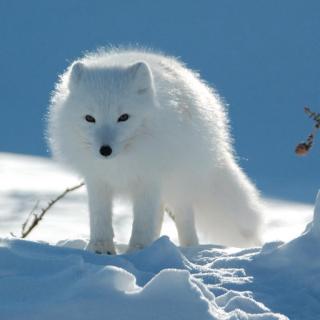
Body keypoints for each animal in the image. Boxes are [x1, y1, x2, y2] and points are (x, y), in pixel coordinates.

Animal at [47, 48, 262, 254]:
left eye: (123, 117)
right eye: (89, 118)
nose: (105, 150)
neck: (121, 162)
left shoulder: (148, 179)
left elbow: (143, 222)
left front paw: (138, 250)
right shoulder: (97, 180)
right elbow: (100, 217)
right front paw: (100, 248)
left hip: (179, 183)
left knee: (183, 217)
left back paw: (188, 248)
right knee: (159, 215)